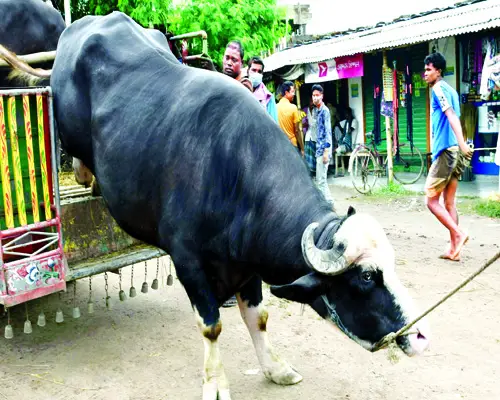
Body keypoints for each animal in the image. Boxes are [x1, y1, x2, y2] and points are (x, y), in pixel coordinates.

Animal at [0, 12, 430, 400]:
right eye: (367, 278)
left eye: (390, 263)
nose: (418, 336)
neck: (233, 176)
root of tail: (83, 26)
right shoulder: (188, 261)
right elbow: (211, 326)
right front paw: (215, 384)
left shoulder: (247, 264)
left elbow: (259, 316)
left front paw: (275, 368)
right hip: (69, 125)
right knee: (74, 150)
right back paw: (84, 176)